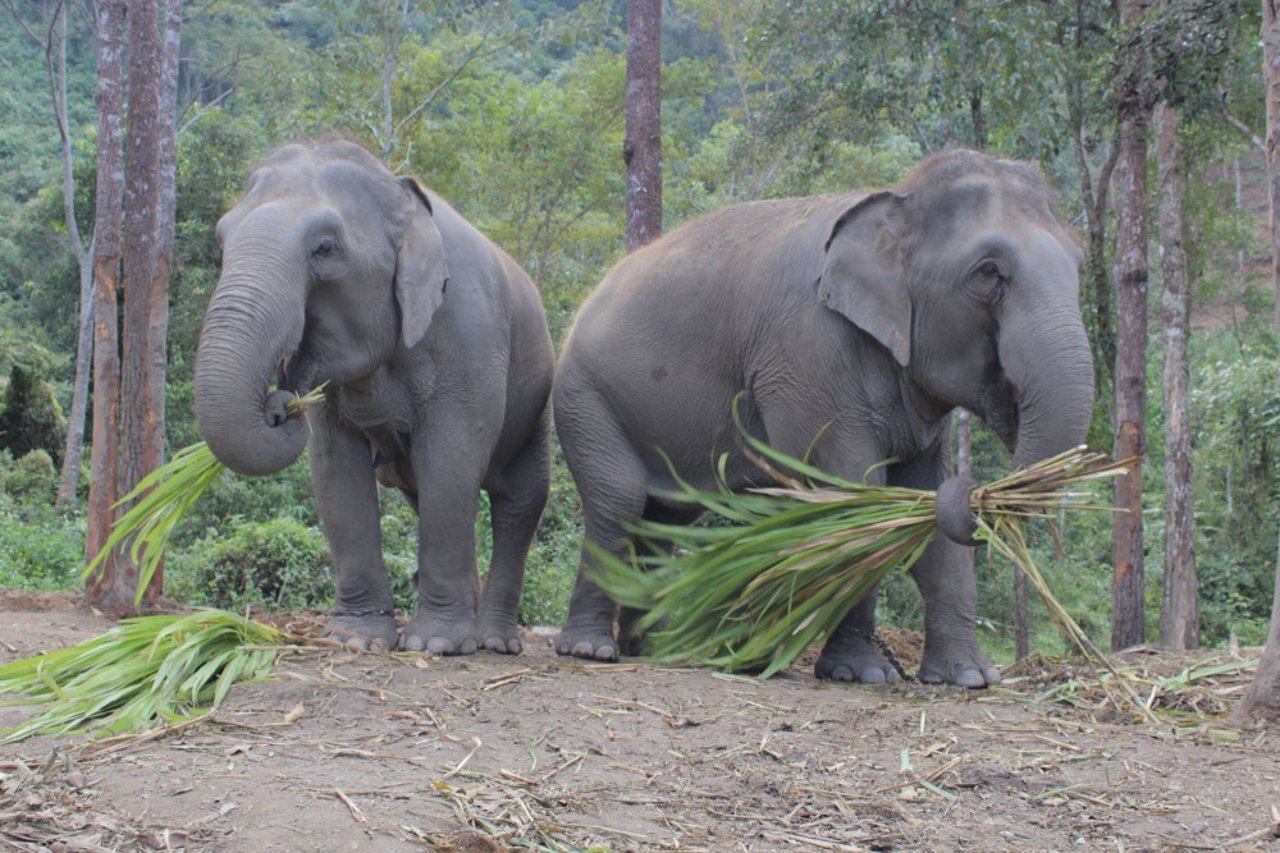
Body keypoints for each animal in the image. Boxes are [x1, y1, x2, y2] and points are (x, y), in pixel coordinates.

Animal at [192, 139, 552, 650]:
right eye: (223, 238)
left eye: (325, 248)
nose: (282, 405)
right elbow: (335, 472)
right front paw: (355, 639)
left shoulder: (470, 339)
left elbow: (450, 460)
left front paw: (434, 645)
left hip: (536, 405)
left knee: (518, 504)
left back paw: (494, 641)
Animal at [555, 147, 1095, 686]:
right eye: (988, 273)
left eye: (1079, 266)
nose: (985, 490)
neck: (899, 197)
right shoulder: (806, 352)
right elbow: (853, 495)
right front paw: (862, 674)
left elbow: (924, 498)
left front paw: (968, 678)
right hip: (585, 398)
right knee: (620, 499)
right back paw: (591, 649)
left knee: (665, 517)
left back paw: (656, 648)